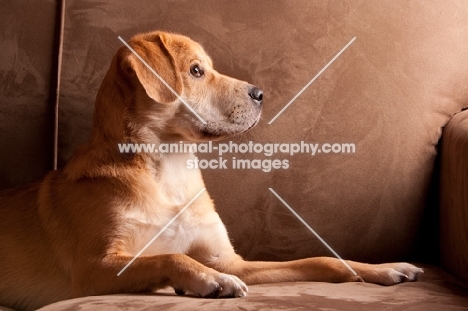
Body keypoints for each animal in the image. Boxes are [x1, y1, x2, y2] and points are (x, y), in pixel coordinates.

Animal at [0, 30, 424, 310]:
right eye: (195, 71)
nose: (260, 94)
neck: (169, 173)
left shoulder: (234, 260)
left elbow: (321, 260)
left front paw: (382, 269)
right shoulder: (94, 269)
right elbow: (170, 257)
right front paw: (209, 280)